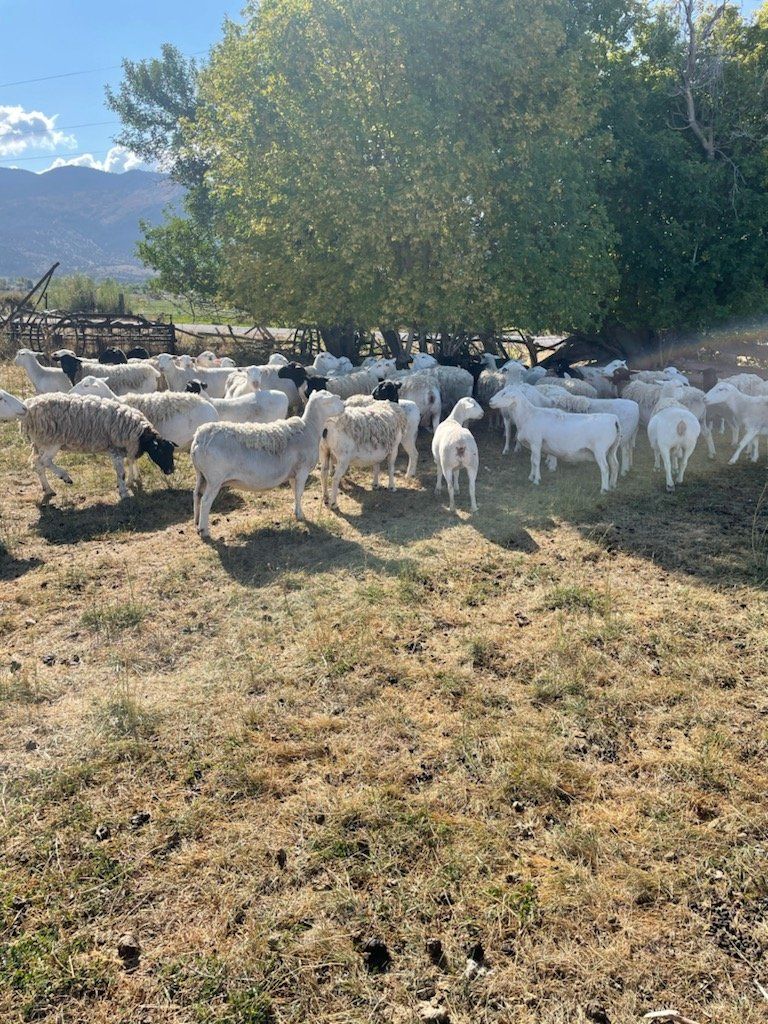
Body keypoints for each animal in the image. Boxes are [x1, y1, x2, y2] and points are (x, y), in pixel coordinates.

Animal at [0, 389, 175, 501]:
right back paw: (65, 477)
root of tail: (29, 408)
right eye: (161, 452)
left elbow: (130, 462)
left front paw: (132, 481)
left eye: (171, 451)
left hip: (41, 442)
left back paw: (48, 489)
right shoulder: (115, 448)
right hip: (53, 440)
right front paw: (124, 492)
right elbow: (121, 472)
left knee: (38, 464)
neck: (140, 434)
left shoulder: (126, 447)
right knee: (43, 462)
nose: (171, 470)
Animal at [190, 389, 345, 537]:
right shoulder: (303, 470)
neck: (310, 429)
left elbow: (295, 493)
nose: (344, 406)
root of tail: (200, 438)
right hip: (214, 478)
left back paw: (197, 522)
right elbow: (300, 493)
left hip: (201, 475)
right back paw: (204, 530)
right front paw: (301, 515)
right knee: (206, 501)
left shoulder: (293, 473)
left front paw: (296, 511)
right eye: (332, 400)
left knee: (197, 494)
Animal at [490, 385, 620, 492]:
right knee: (615, 465)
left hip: (600, 450)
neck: (528, 415)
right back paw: (612, 485)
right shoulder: (533, 444)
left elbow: (536, 461)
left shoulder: (536, 442)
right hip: (612, 448)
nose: (490, 401)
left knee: (605, 468)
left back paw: (604, 489)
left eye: (504, 393)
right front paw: (531, 477)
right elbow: (532, 460)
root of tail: (614, 419)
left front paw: (536, 480)